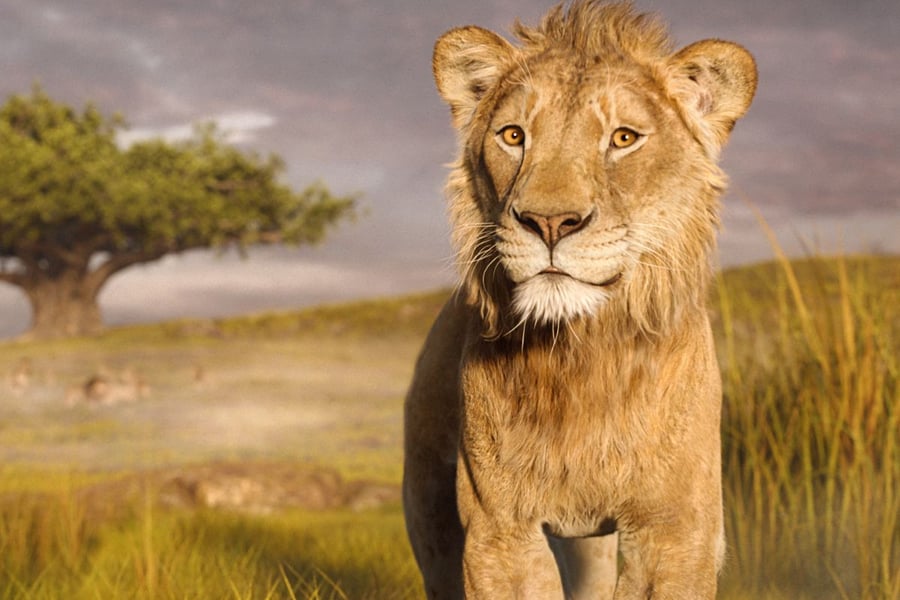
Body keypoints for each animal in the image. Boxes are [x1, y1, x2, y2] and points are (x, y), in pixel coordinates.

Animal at [403, 1, 757, 598]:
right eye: (514, 135)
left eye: (623, 138)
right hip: (430, 510)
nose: (549, 222)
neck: (580, 358)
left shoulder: (677, 529)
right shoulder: (499, 529)